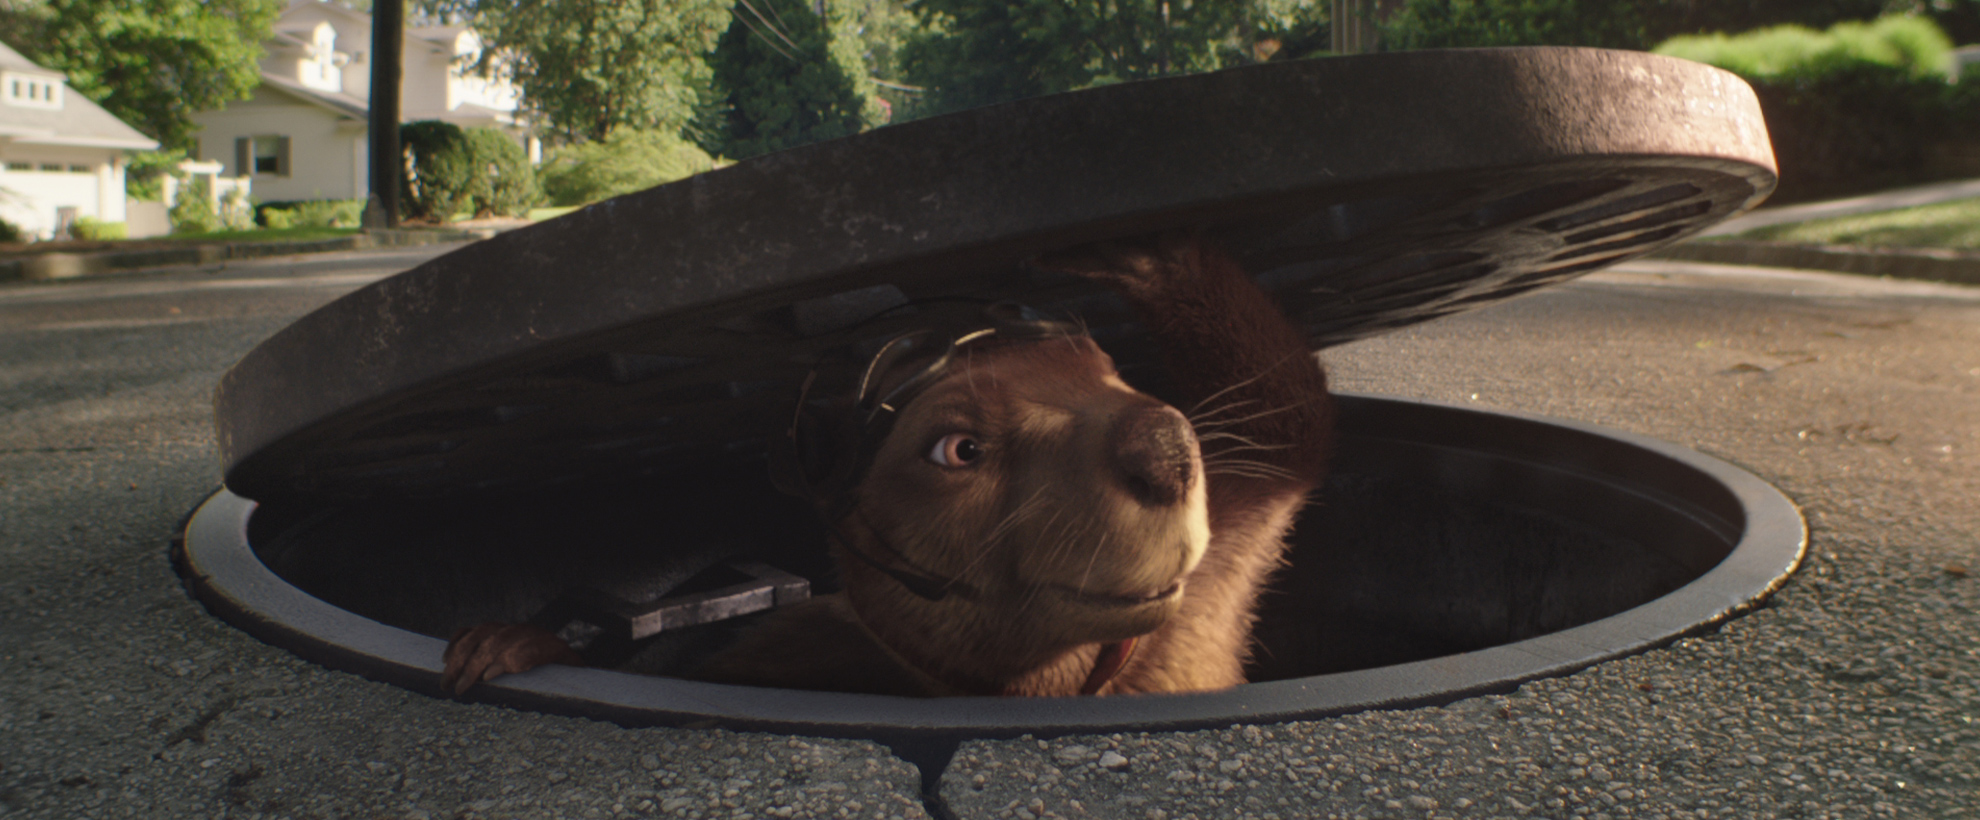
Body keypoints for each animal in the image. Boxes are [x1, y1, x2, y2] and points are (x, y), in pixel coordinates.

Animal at [439, 230, 1322, 697]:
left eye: (1107, 364)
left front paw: (1127, 256)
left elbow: (1285, 418)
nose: (1163, 444)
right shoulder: (815, 652)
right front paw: (512, 645)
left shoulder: (1216, 573)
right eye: (959, 447)